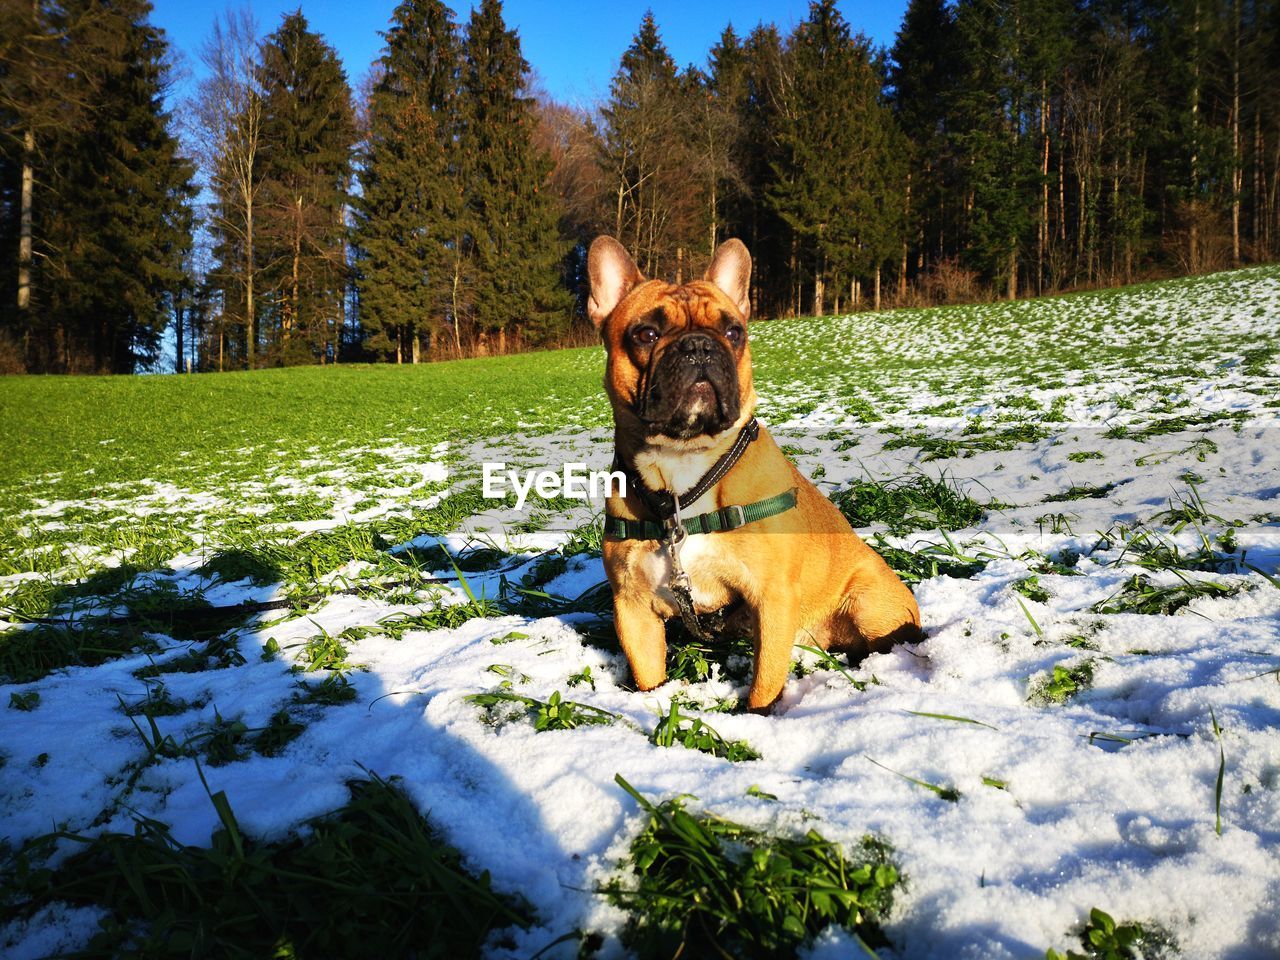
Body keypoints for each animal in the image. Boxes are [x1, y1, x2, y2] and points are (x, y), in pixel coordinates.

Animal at [588, 235, 921, 711]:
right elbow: (649, 675)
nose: (699, 346)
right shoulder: (633, 606)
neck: (683, 469)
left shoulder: (772, 598)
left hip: (870, 603)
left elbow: (764, 683)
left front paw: (756, 716)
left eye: (734, 333)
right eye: (646, 334)